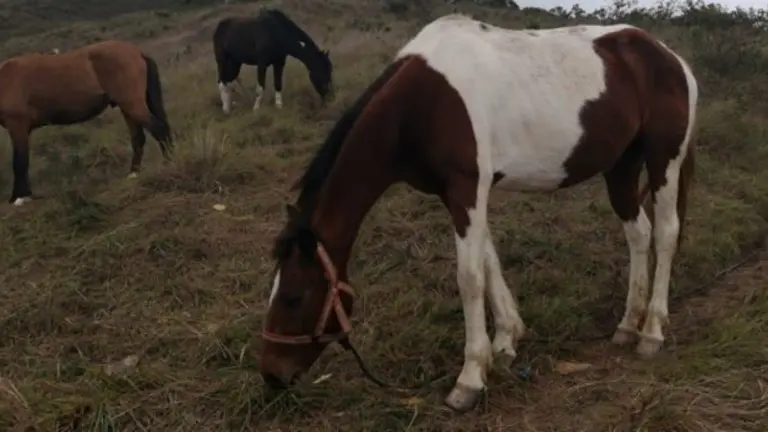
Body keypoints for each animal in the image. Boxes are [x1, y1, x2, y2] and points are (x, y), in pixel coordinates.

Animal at [0, 39, 172, 206]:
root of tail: (137, 52)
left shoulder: (18, 126)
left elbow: (20, 161)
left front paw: (20, 197)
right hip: (127, 108)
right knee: (139, 137)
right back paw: (133, 173)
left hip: (132, 104)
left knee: (159, 129)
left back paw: (168, 161)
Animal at [259, 14, 698, 413]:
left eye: (293, 298)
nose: (272, 375)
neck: (420, 103)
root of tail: (671, 57)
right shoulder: (460, 194)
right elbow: (488, 263)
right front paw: (505, 342)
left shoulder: (467, 187)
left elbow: (469, 277)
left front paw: (469, 379)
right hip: (621, 165)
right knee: (639, 233)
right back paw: (627, 325)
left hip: (664, 158)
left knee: (665, 233)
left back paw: (651, 331)